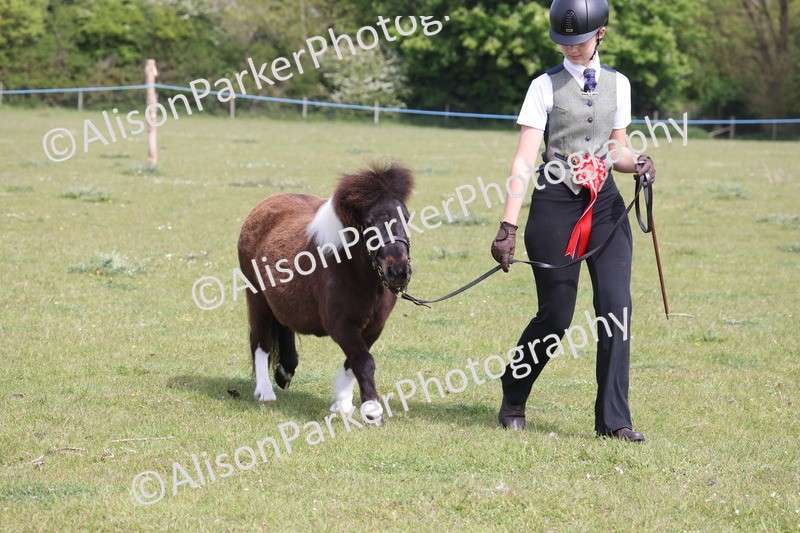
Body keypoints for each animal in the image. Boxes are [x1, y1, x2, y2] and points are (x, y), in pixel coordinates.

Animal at [237, 162, 414, 426]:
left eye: (406, 217)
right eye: (369, 221)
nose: (399, 271)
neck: (354, 270)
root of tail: (262, 207)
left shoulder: (373, 328)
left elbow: (353, 362)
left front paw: (343, 404)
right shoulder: (341, 325)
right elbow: (363, 362)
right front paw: (372, 410)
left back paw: (285, 371)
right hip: (257, 298)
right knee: (260, 341)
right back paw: (265, 392)